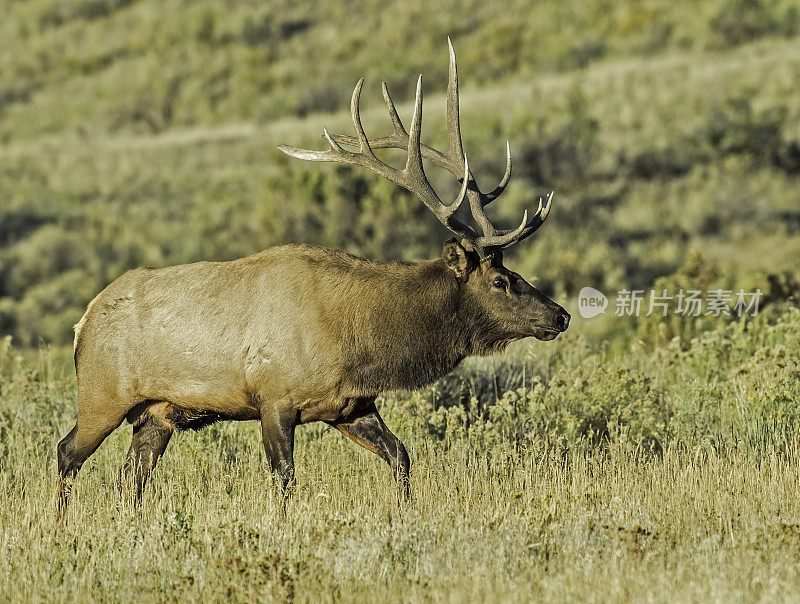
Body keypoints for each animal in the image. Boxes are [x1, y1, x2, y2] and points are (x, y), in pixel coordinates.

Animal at [56, 39, 568, 510]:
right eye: (500, 281)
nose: (559, 315)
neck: (360, 342)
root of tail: (83, 322)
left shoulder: (351, 406)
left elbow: (401, 456)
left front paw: (404, 510)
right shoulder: (274, 399)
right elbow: (285, 479)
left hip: (157, 413)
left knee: (130, 476)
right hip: (102, 394)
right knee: (67, 452)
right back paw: (61, 523)